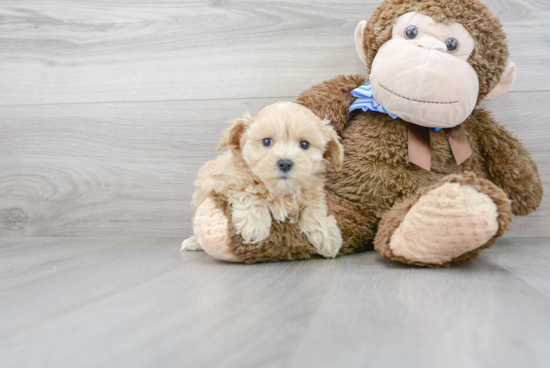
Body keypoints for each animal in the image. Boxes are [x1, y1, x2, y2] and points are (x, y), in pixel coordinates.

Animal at [182, 100, 344, 256]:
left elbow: (312, 209)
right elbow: (248, 193)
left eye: (304, 144)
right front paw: (253, 224)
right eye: (267, 141)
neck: (279, 192)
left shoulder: (312, 194)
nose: (285, 163)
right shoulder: (228, 181)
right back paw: (193, 242)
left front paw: (326, 234)